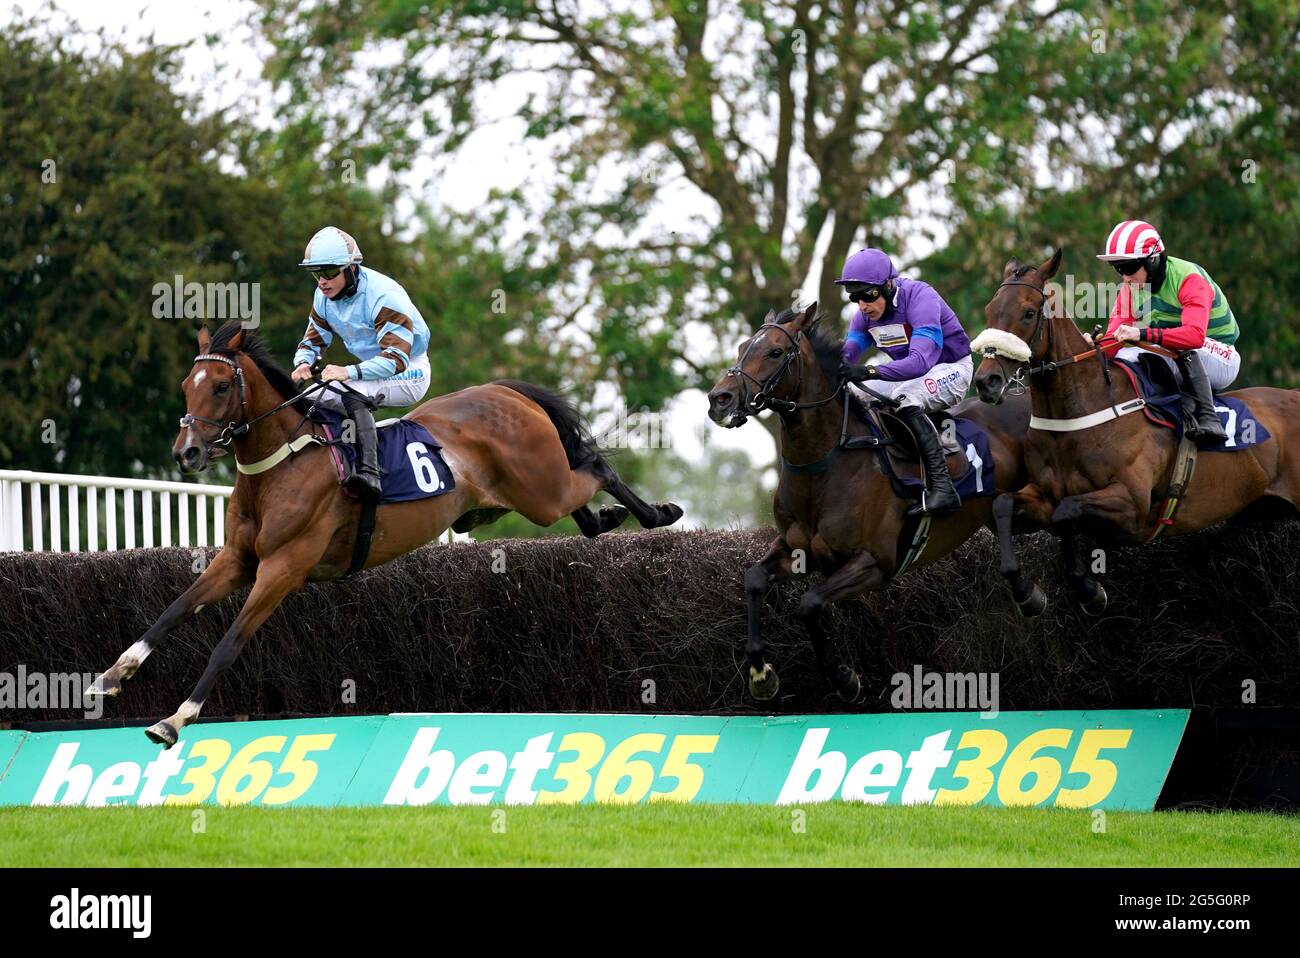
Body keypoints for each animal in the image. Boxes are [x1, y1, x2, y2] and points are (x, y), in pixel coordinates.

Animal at [87, 317, 686, 743]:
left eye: (217, 386)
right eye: (186, 384)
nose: (186, 452)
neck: (282, 462)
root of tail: (505, 391)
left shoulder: (283, 569)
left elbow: (229, 643)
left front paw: (174, 719)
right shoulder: (238, 559)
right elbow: (171, 611)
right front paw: (108, 678)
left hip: (541, 490)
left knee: (596, 468)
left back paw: (658, 514)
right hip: (521, 496)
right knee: (582, 496)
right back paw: (607, 519)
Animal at [712, 302, 1024, 696]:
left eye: (775, 352)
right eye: (741, 348)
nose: (719, 399)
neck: (826, 463)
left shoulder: (874, 563)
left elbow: (809, 603)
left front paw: (843, 676)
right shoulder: (796, 550)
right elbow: (753, 578)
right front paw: (760, 673)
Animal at [972, 244, 1300, 605]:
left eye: (1029, 313)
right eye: (989, 310)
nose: (986, 381)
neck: (1077, 416)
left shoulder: (1133, 506)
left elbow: (1066, 511)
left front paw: (1088, 588)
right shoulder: (1042, 492)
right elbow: (1003, 505)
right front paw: (1027, 592)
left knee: (1188, 351)